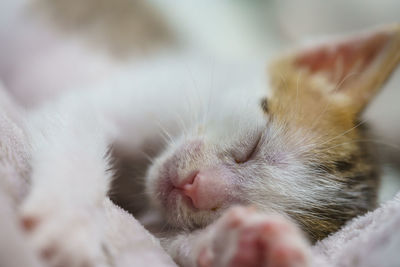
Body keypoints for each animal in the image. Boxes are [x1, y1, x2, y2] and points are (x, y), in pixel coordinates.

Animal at [20, 24, 400, 267]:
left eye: (246, 208)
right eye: (252, 147)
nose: (197, 187)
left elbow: (153, 236)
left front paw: (240, 247)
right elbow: (77, 140)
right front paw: (68, 220)